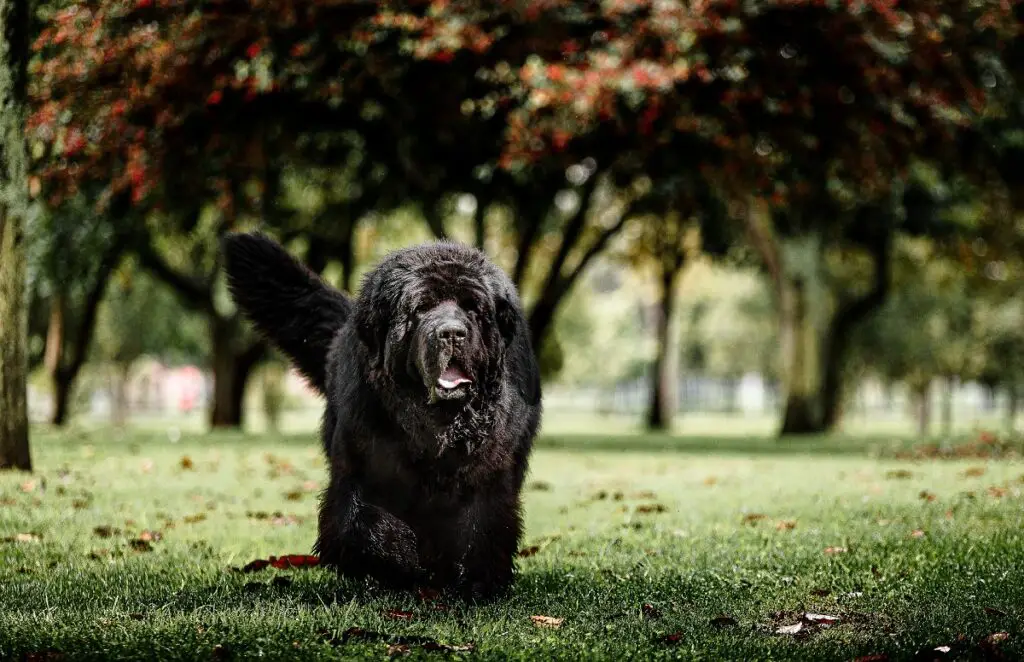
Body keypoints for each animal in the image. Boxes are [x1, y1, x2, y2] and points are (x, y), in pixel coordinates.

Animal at [222, 233, 544, 602]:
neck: (437, 424)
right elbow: (361, 521)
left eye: (473, 309)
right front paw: (398, 560)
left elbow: (483, 525)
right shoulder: (361, 464)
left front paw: (477, 582)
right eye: (421, 308)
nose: (451, 333)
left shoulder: (489, 472)